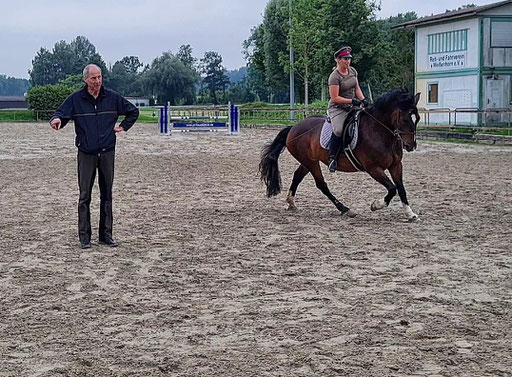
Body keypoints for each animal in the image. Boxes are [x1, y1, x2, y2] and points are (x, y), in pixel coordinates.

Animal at [260, 89, 420, 220]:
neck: (379, 131)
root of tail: (294, 127)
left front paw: (410, 213)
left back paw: (291, 202)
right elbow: (392, 188)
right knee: (321, 184)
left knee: (297, 176)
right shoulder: (373, 168)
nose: (410, 146)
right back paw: (345, 209)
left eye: (417, 118)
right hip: (311, 162)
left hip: (308, 161)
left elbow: (401, 189)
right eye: (404, 119)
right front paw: (375, 205)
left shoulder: (396, 165)